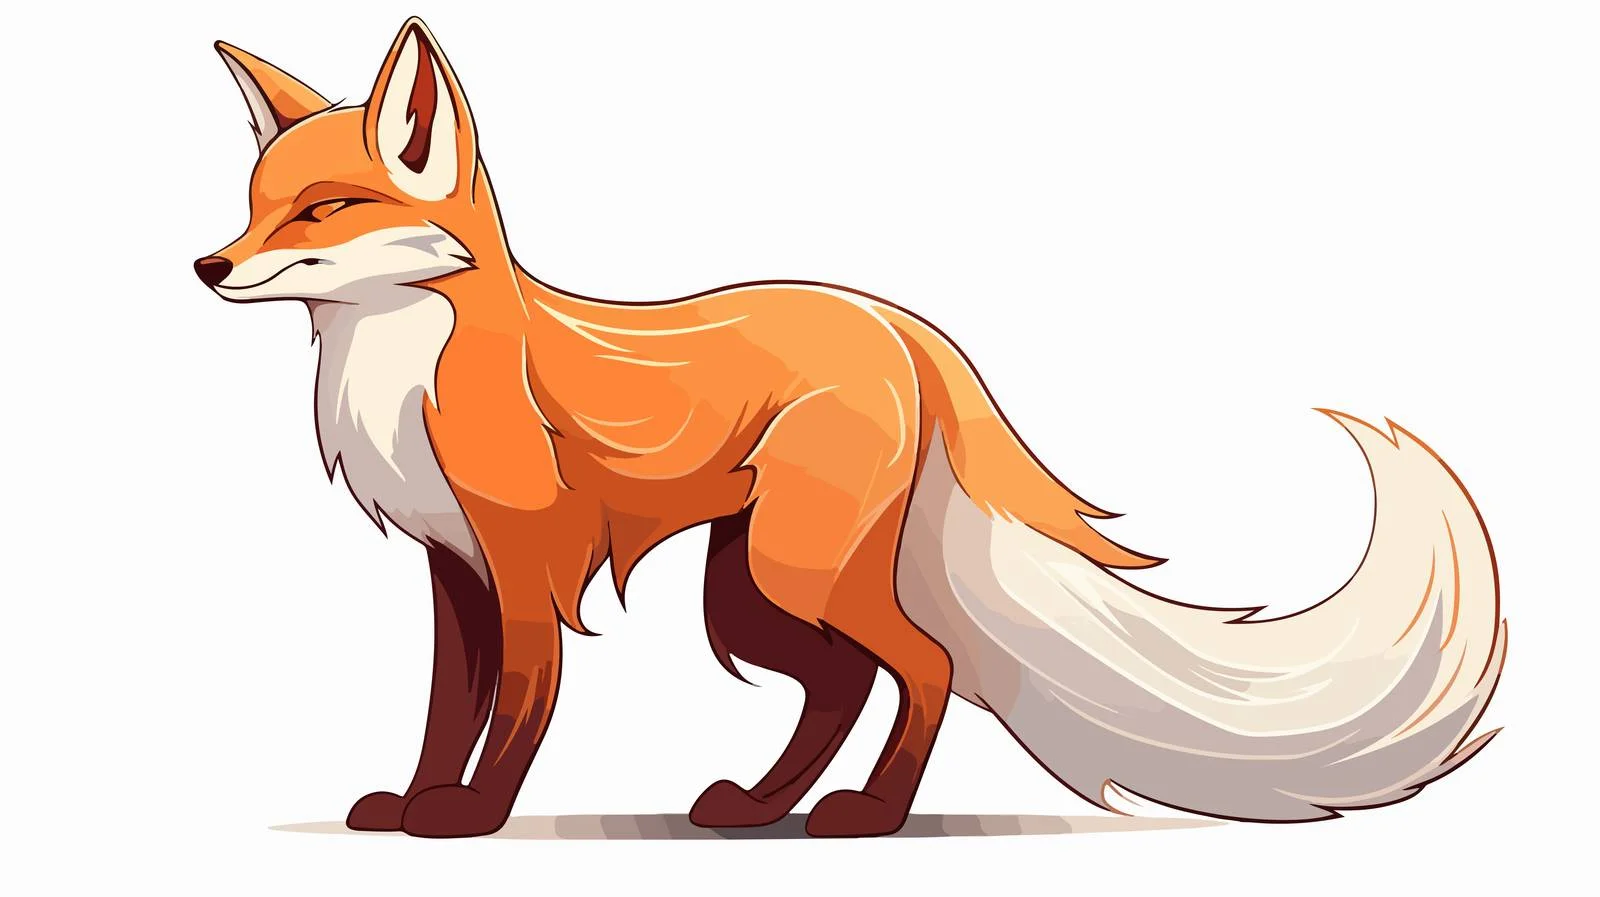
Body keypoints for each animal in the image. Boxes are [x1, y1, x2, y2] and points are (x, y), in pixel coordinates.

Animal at [197, 17, 1507, 839]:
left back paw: (868, 818)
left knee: (921, 667)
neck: (404, 373)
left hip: (793, 571)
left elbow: (516, 712)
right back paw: (765, 809)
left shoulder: (522, 570)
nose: (207, 266)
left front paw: (469, 820)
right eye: (253, 205)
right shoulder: (454, 572)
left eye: (323, 209)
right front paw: (414, 802)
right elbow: (441, 712)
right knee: (839, 686)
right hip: (754, 595)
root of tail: (897, 325)